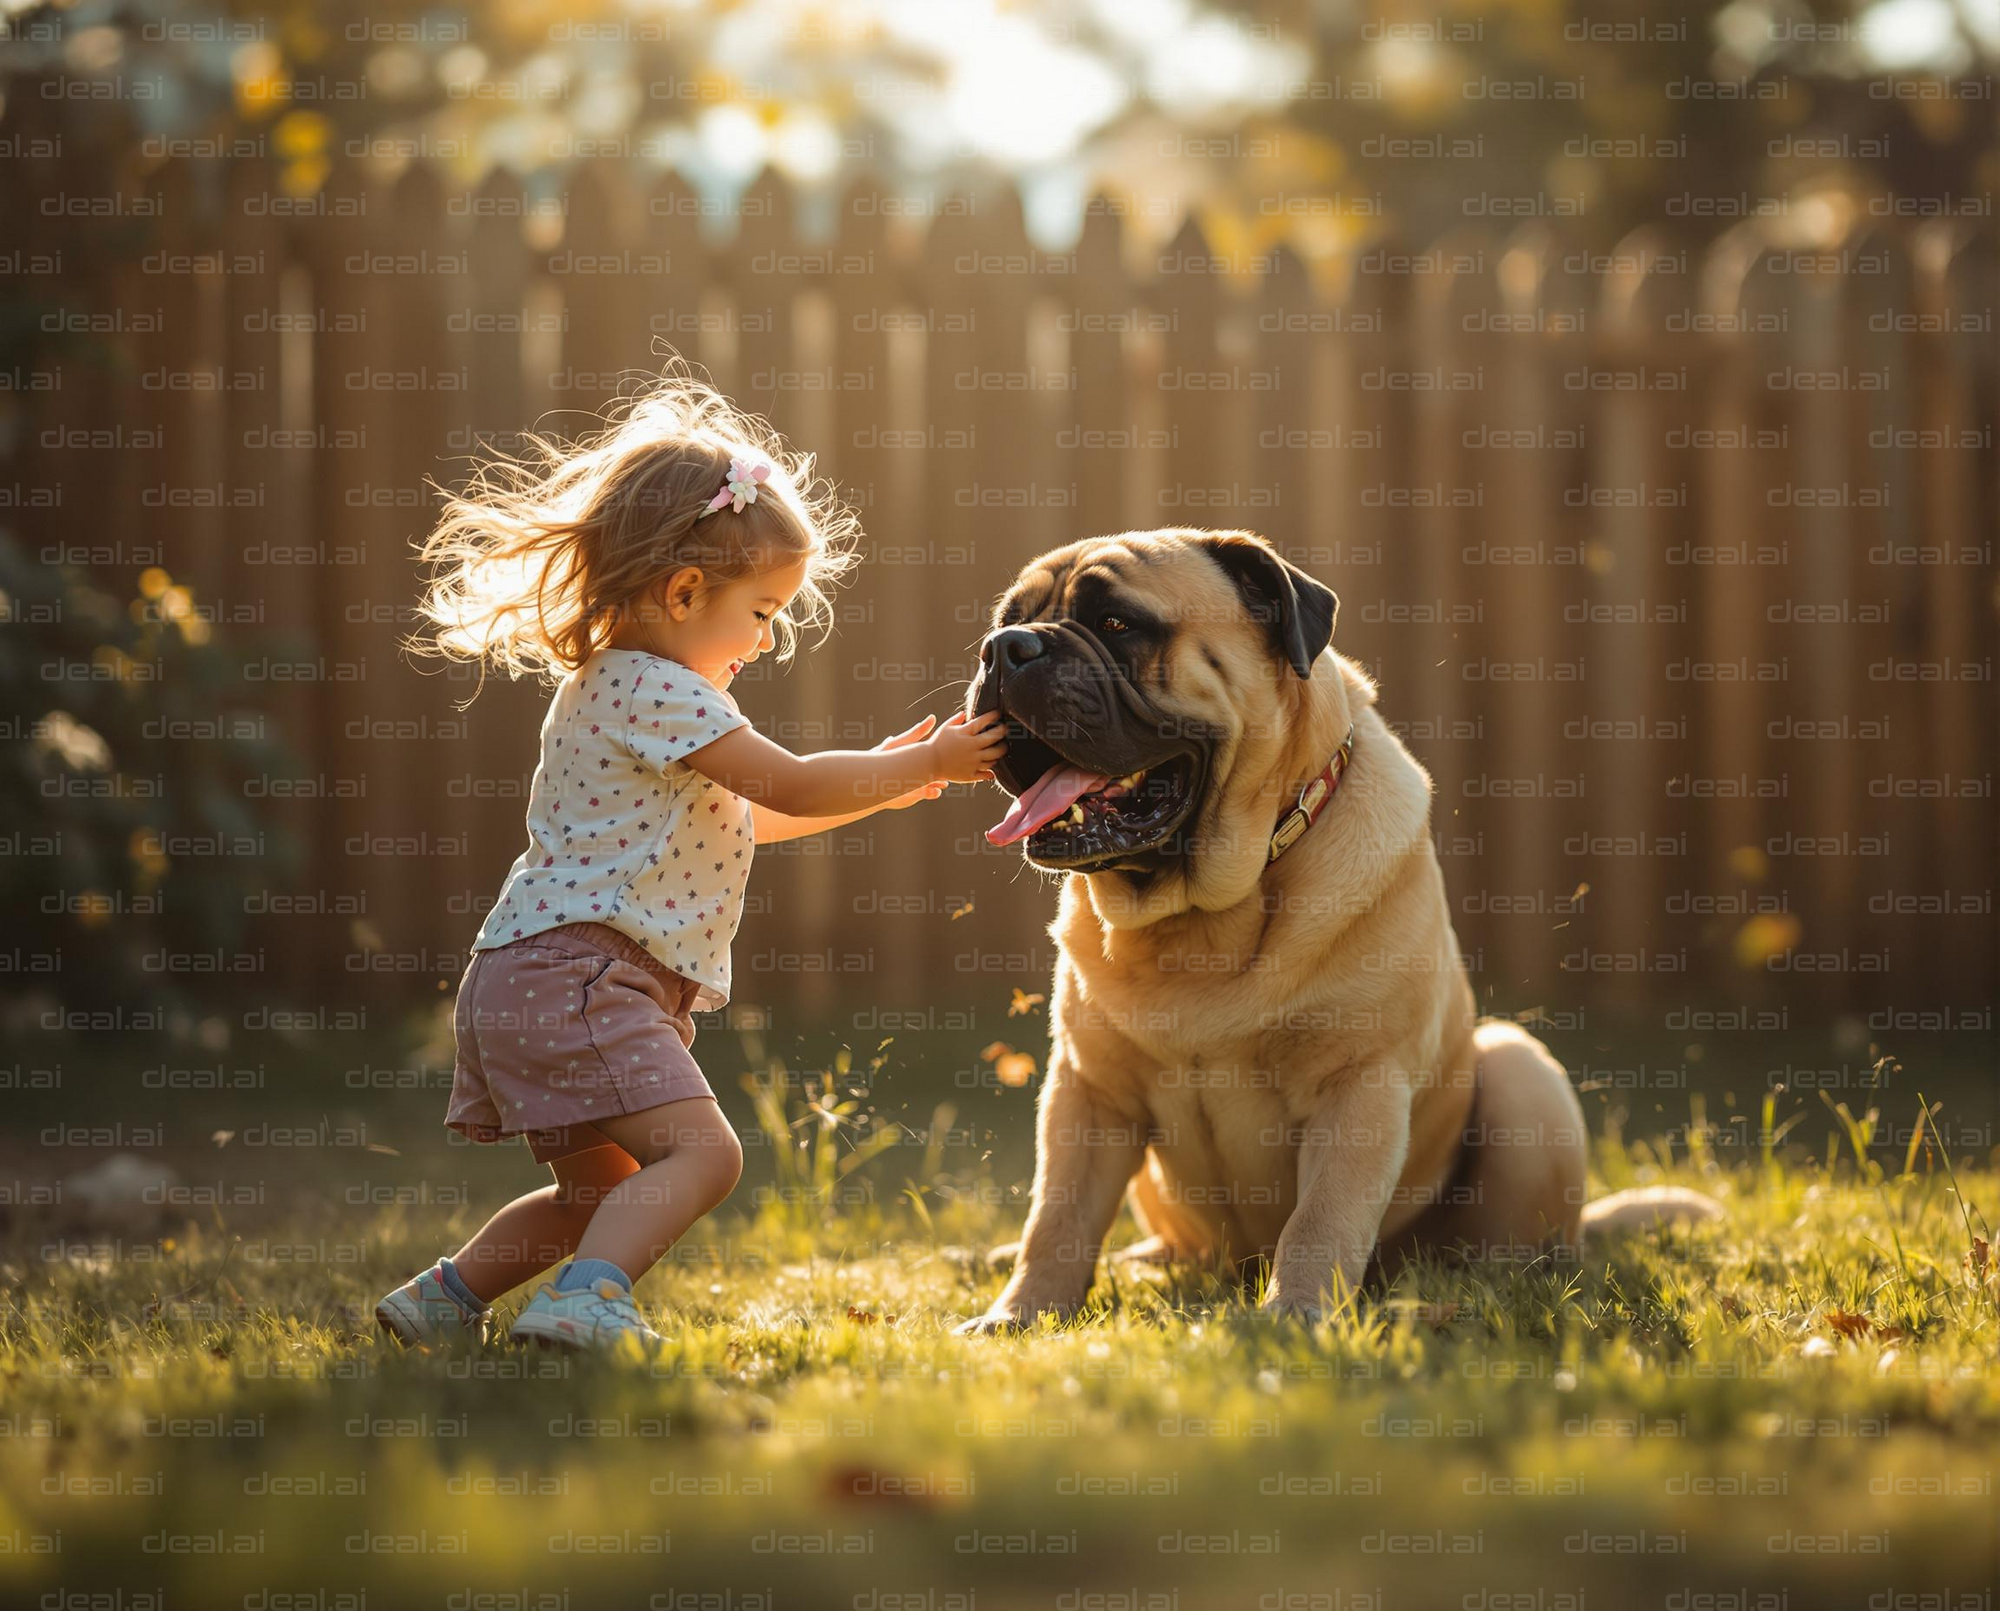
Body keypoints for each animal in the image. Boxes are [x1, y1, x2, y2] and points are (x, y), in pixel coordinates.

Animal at [960, 531, 1712, 1335]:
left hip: (1519, 1070)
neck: (1206, 917)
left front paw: (1297, 1315)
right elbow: (1057, 1217)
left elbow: (1322, 1217)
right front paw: (1018, 1315)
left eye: (1117, 624)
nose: (1005, 649)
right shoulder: (1089, 1091)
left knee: (1512, 1249)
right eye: (1007, 620)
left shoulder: (1358, 1084)